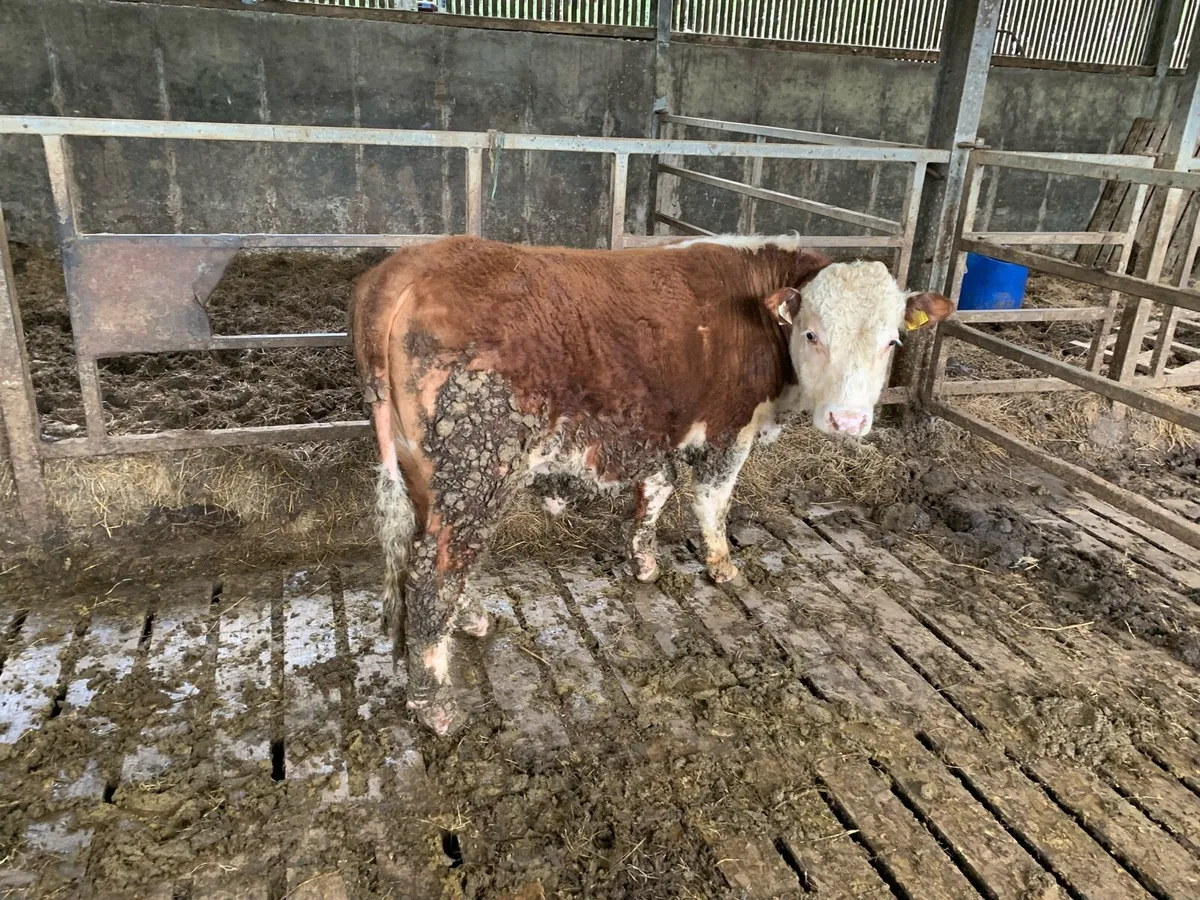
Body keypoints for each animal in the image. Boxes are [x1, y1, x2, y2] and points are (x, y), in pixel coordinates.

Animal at [350, 234, 952, 734]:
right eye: (812, 333)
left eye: (892, 343)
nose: (848, 422)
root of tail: (408, 266)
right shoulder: (730, 430)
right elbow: (713, 499)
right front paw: (721, 565)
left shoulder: (659, 430)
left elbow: (656, 491)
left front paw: (643, 561)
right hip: (478, 467)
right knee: (434, 573)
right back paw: (435, 704)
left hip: (426, 469)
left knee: (436, 556)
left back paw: (471, 620)